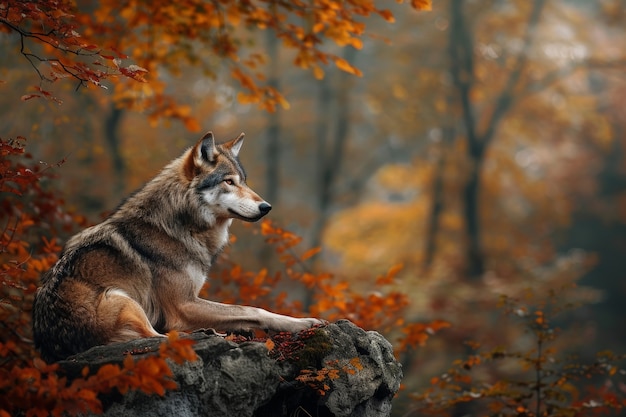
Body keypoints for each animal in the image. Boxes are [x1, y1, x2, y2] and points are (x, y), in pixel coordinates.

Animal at [31, 131, 320, 360]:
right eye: (229, 181)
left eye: (244, 181)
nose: (266, 207)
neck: (180, 227)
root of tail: (51, 353)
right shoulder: (183, 305)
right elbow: (251, 309)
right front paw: (302, 322)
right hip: (122, 299)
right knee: (159, 337)